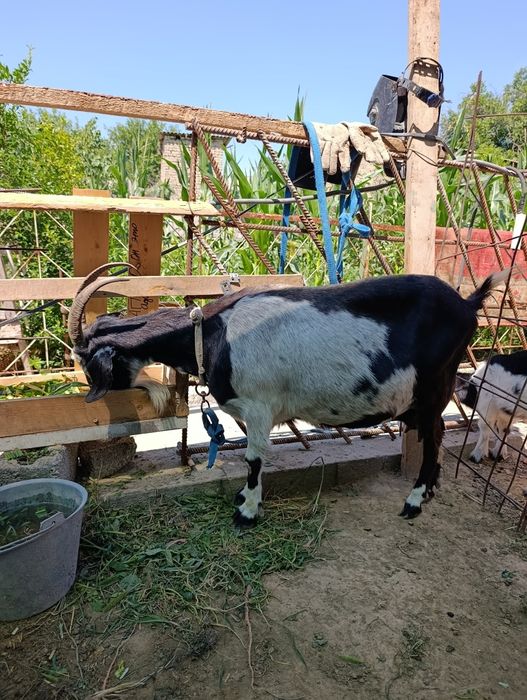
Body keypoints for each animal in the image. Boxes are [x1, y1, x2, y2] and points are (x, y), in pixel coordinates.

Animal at [69, 264, 508, 527]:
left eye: (88, 364)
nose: (87, 397)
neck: (212, 334)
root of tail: (467, 303)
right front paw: (245, 500)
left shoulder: (259, 406)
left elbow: (254, 458)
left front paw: (247, 511)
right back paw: (428, 490)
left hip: (436, 384)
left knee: (434, 437)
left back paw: (414, 501)